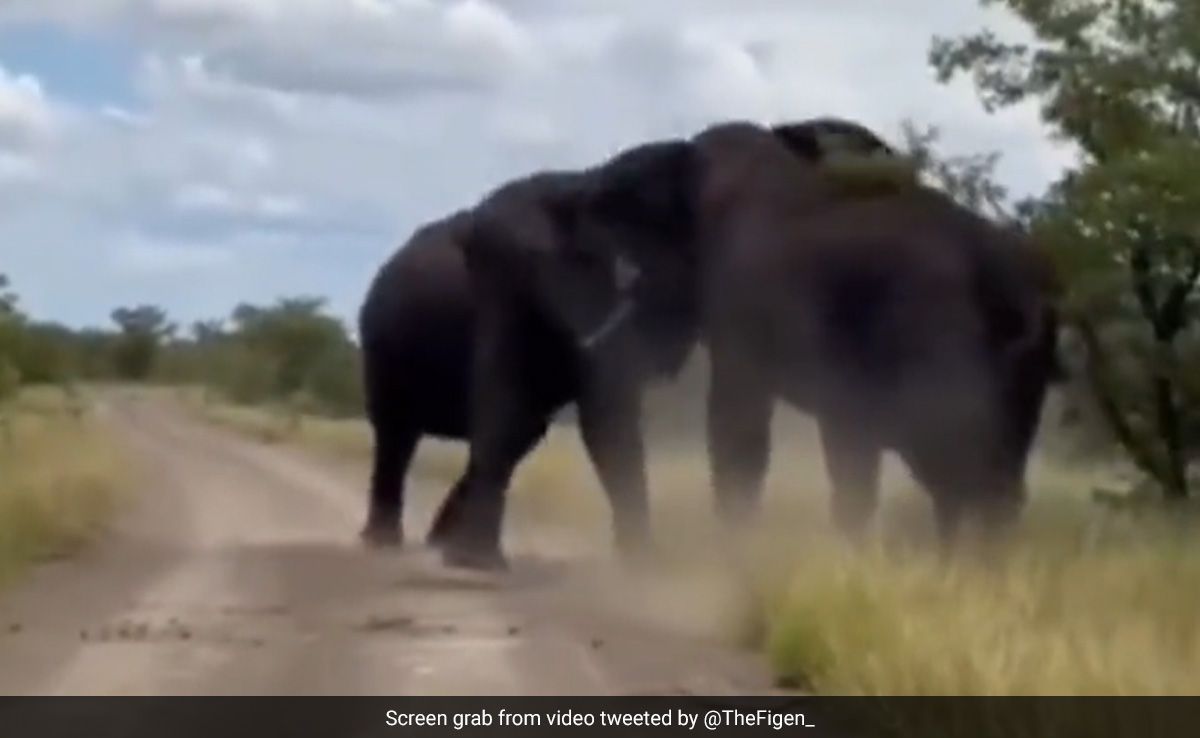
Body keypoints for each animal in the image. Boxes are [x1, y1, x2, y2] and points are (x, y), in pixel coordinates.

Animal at [438, 118, 1064, 568]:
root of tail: (1012, 275)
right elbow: (843, 448)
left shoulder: (741, 298)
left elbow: (738, 421)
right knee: (988, 471)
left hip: (935, 332)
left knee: (958, 465)